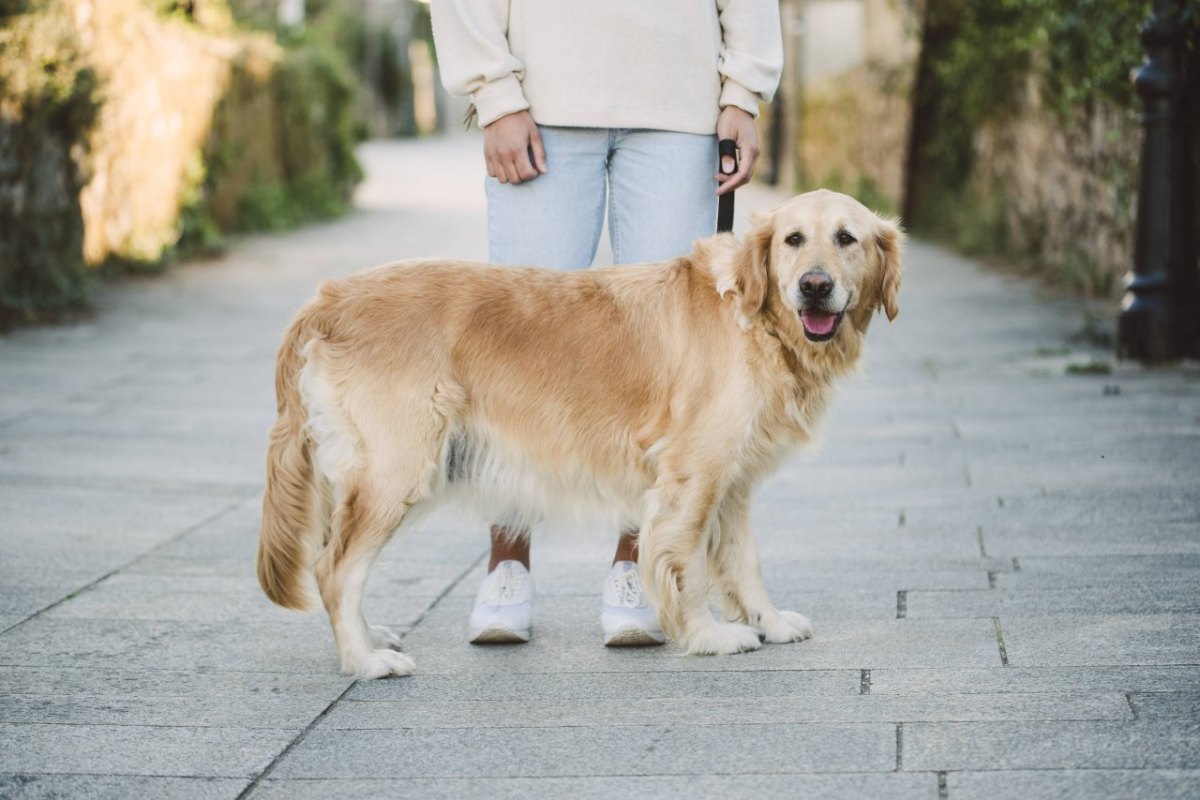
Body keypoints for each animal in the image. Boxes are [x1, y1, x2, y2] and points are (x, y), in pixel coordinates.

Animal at [258, 190, 902, 681]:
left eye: (847, 239)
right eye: (793, 240)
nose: (814, 286)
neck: (756, 320)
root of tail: (328, 298)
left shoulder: (733, 482)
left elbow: (745, 564)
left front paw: (769, 623)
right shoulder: (693, 478)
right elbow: (687, 568)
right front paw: (709, 635)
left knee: (339, 562)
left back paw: (372, 640)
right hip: (400, 469)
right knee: (335, 569)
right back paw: (365, 661)